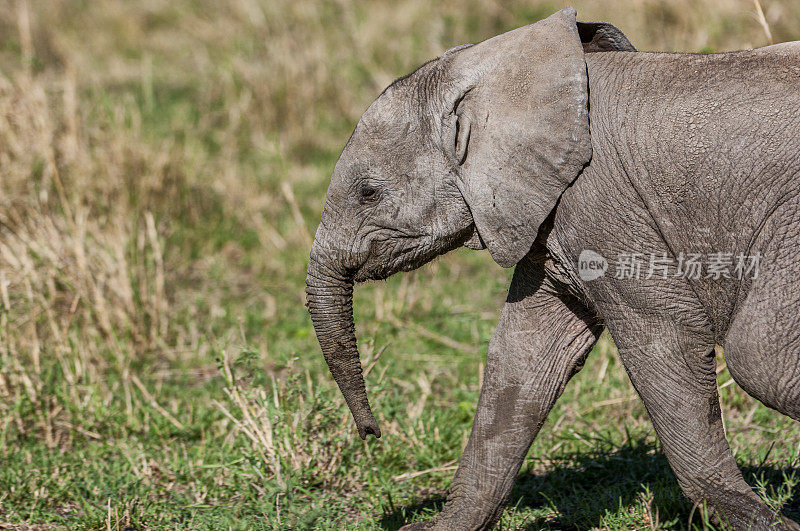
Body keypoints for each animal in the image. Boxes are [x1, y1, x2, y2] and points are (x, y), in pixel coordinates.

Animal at [304, 6, 800, 528]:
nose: (372, 434)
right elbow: (522, 358)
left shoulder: (603, 204)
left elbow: (666, 340)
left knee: (758, 358)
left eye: (368, 193)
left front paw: (773, 525)